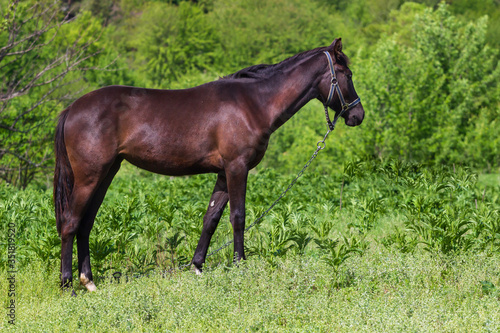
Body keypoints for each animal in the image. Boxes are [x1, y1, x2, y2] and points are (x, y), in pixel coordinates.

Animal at [53, 37, 364, 290]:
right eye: (347, 74)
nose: (357, 115)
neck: (254, 103)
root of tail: (72, 109)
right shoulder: (237, 167)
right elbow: (238, 217)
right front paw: (240, 264)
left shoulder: (223, 173)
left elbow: (211, 219)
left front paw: (197, 266)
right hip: (89, 177)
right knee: (71, 222)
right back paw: (67, 284)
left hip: (105, 174)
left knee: (85, 224)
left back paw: (89, 281)